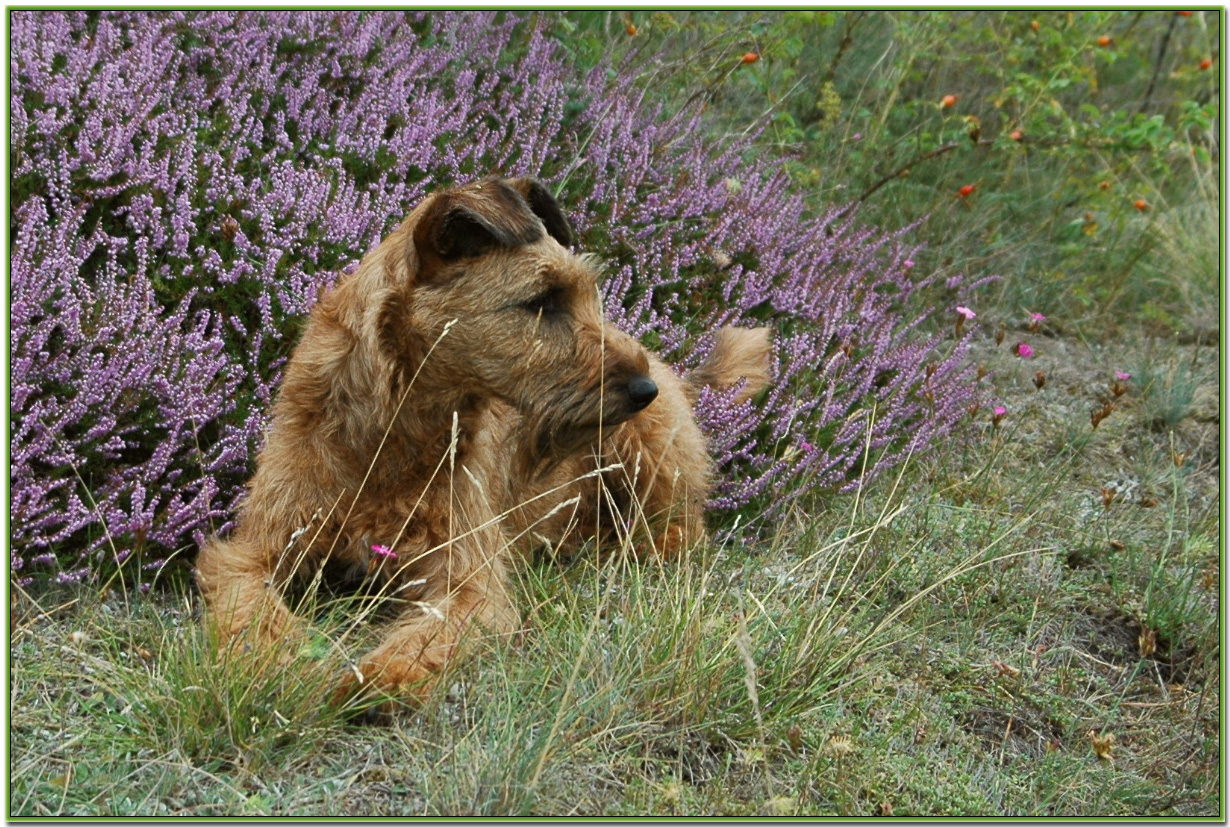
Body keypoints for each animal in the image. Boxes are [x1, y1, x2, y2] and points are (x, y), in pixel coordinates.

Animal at [195, 175, 762, 703]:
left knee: (680, 531)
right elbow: (254, 609)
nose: (642, 389)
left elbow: (429, 635)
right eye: (541, 301)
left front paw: (377, 680)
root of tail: (676, 375)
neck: (390, 437)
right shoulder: (254, 550)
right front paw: (274, 667)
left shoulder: (470, 582)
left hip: (649, 458)